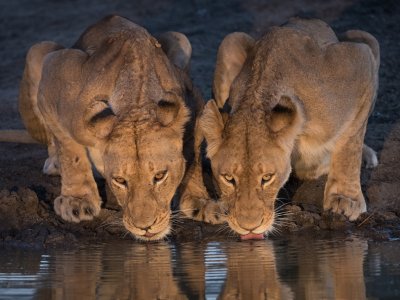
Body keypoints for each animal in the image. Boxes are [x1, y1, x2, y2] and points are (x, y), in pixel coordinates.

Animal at [4, 15, 208, 241]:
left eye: (159, 176)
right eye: (120, 180)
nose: (146, 227)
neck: (135, 103)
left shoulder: (195, 102)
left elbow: (195, 156)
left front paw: (200, 201)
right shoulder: (54, 73)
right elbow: (69, 149)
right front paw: (77, 200)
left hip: (180, 38)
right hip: (38, 50)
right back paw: (55, 163)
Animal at [195, 17, 380, 239]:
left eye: (267, 178)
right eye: (228, 178)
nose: (249, 227)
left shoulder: (359, 59)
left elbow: (350, 142)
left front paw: (345, 198)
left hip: (365, 38)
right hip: (230, 41)